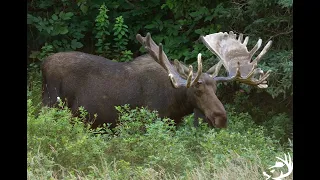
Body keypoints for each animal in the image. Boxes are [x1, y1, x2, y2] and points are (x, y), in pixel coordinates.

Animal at [40, 31, 272, 129]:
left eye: (216, 89)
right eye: (197, 90)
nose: (221, 118)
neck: (175, 106)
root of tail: (43, 64)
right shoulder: (148, 121)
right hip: (51, 105)